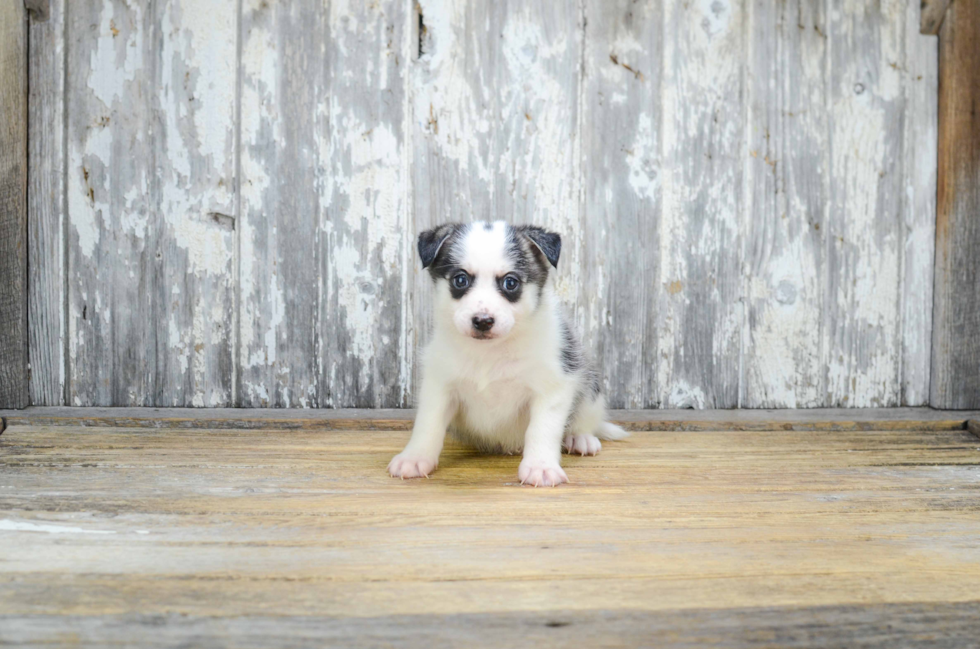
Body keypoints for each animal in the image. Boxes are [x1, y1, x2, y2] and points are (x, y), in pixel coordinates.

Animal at [386, 220, 624, 484]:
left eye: (511, 283)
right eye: (460, 280)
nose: (482, 321)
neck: (491, 352)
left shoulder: (552, 388)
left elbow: (542, 430)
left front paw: (540, 466)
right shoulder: (439, 386)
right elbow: (428, 424)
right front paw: (415, 457)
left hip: (590, 389)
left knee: (586, 420)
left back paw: (580, 438)